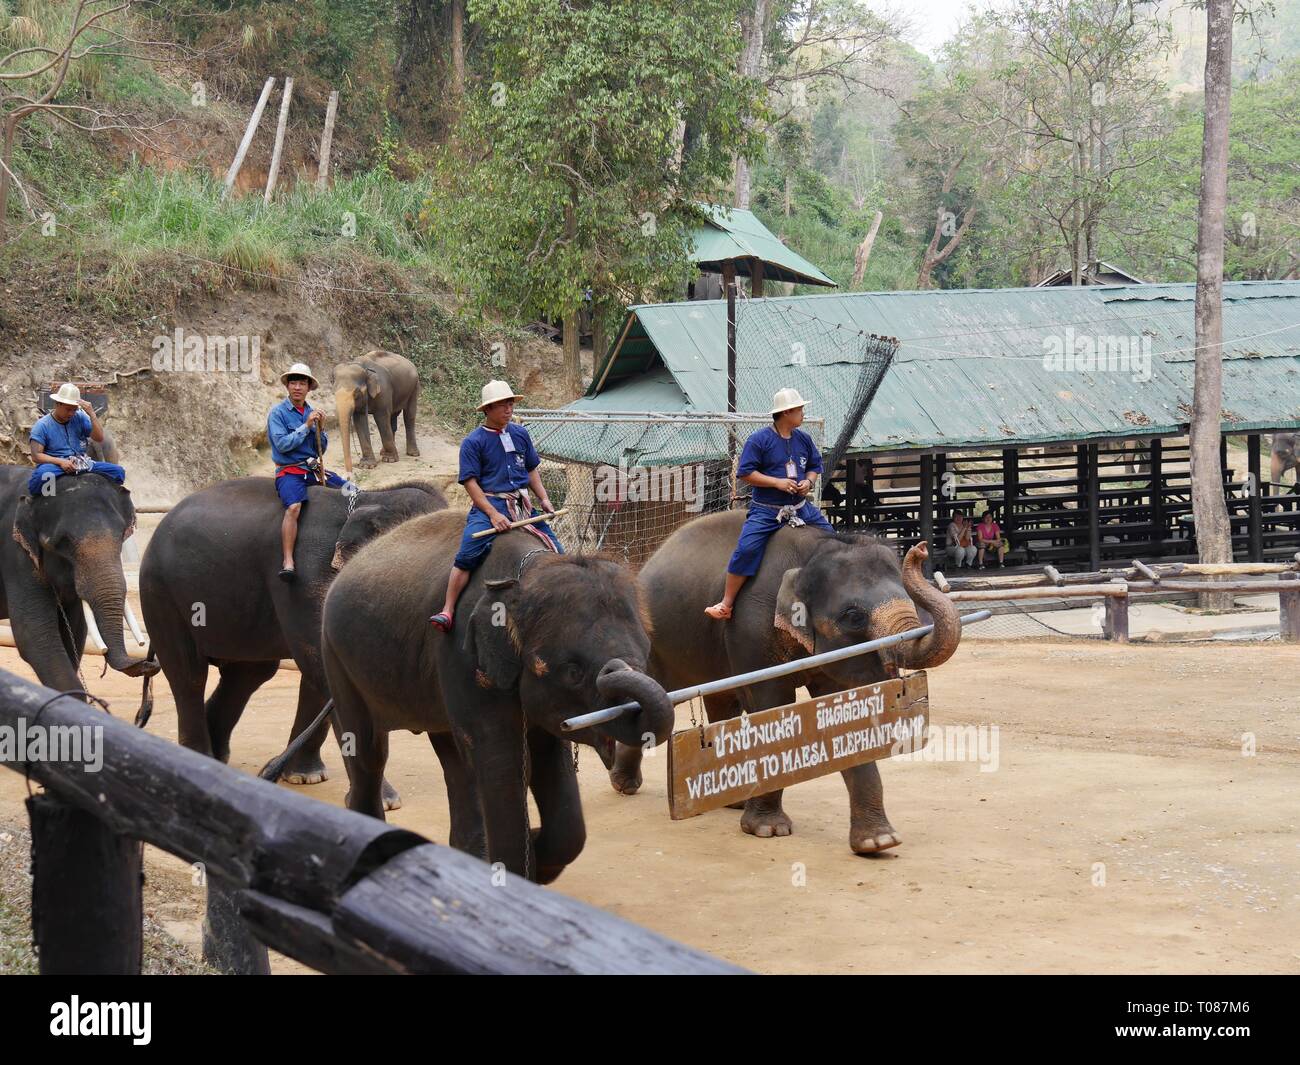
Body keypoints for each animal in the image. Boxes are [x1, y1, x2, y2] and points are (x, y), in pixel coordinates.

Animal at [0, 465, 158, 696]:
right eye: (62, 543)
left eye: (122, 535)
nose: (148, 663)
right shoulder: (16, 554)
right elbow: (34, 633)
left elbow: (75, 632)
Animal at [319, 507, 676, 884]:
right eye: (573, 672)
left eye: (646, 653)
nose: (616, 669)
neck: (525, 575)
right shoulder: (462, 654)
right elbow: (506, 761)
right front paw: (522, 865)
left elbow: (548, 758)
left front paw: (537, 856)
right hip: (335, 656)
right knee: (368, 751)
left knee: (452, 756)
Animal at [603, 512, 961, 853]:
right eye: (854, 616)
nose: (920, 549)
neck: (811, 551)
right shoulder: (751, 628)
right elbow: (771, 704)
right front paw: (767, 830)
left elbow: (843, 711)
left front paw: (879, 842)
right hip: (656, 639)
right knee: (658, 694)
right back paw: (624, 785)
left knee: (721, 702)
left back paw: (729, 800)